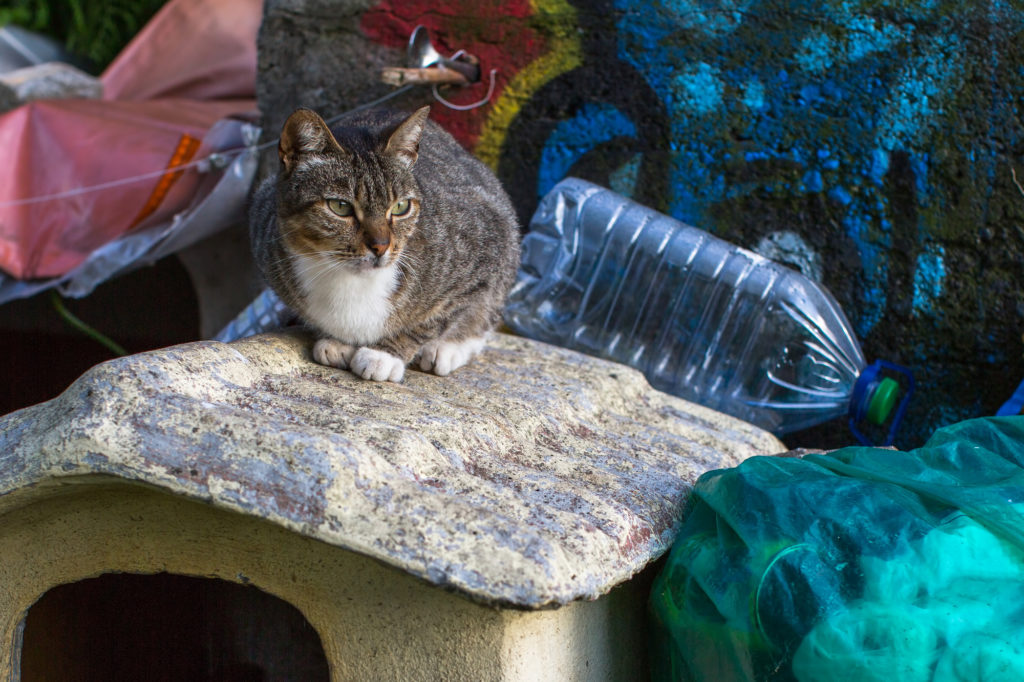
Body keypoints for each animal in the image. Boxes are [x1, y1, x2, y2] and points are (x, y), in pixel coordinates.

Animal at [248, 107, 520, 382]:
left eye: (401, 207)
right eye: (340, 207)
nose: (380, 246)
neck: (350, 281)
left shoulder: (483, 254)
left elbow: (435, 319)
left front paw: (385, 355)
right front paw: (338, 342)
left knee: (485, 315)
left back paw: (446, 349)